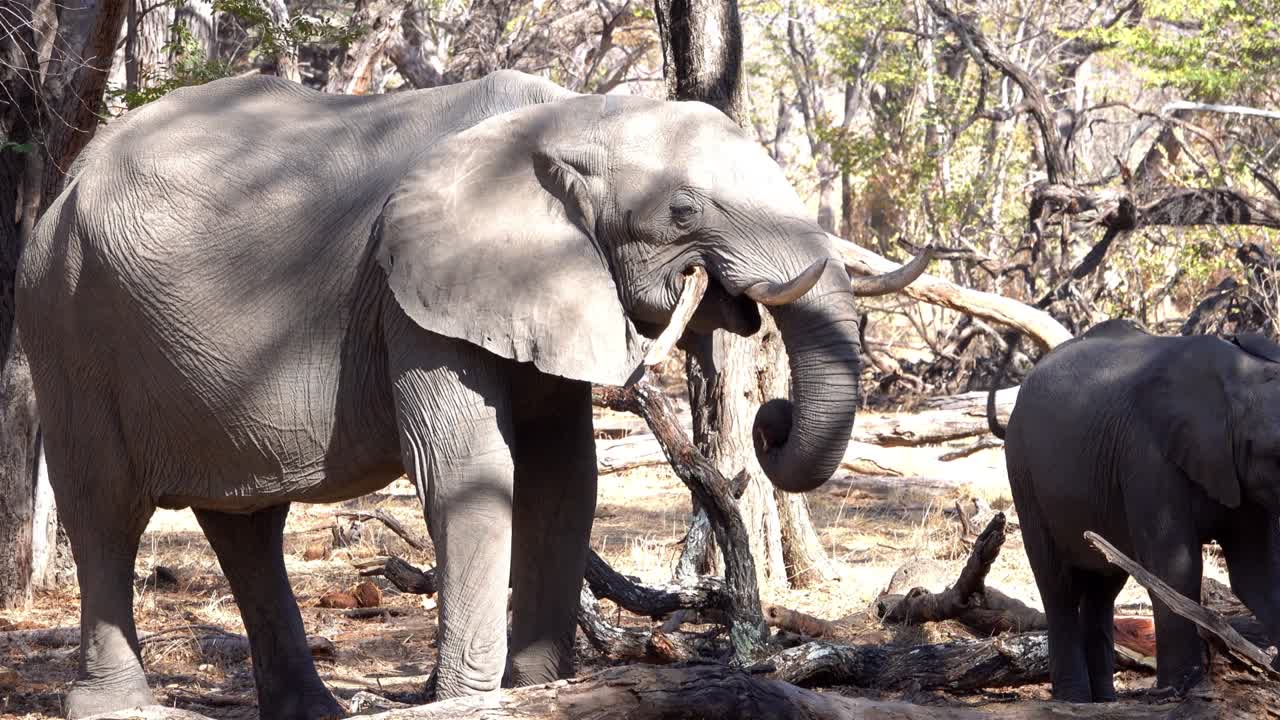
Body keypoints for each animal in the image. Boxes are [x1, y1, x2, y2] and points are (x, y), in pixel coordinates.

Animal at [16, 70, 929, 718]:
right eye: (683, 210)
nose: (771, 422)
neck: (572, 117)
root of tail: (62, 188)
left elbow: (566, 476)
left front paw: (542, 695)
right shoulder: (413, 291)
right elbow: (472, 467)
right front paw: (471, 702)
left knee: (246, 524)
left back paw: (312, 711)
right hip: (67, 320)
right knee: (106, 506)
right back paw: (116, 708)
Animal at [988, 319, 1280, 702]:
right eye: (1279, 452)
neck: (1237, 379)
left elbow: (1256, 574)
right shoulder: (1148, 457)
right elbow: (1175, 568)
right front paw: (1182, 691)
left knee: (1102, 588)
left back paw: (1105, 701)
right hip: (1023, 471)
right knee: (1057, 586)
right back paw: (1075, 700)